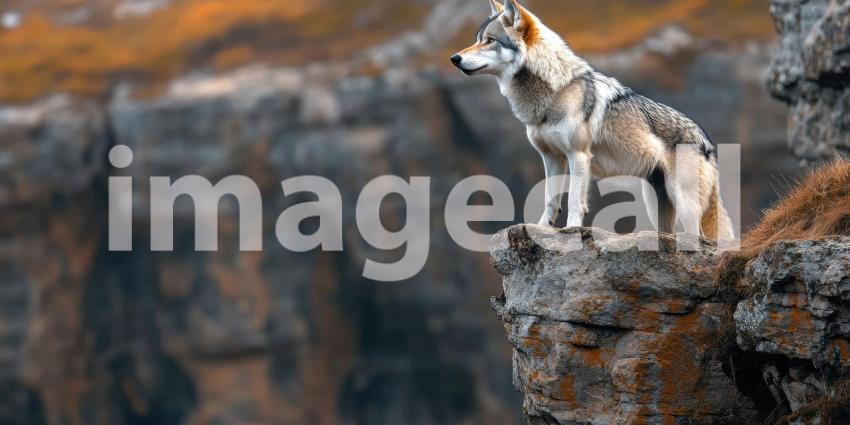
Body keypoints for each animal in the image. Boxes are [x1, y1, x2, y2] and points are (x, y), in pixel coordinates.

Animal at [450, 0, 734, 241]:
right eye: (477, 39)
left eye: (489, 41)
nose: (454, 58)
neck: (555, 92)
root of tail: (707, 142)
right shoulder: (551, 157)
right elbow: (551, 199)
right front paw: (542, 230)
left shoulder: (578, 155)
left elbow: (574, 199)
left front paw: (572, 230)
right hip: (658, 207)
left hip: (683, 201)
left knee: (702, 237)